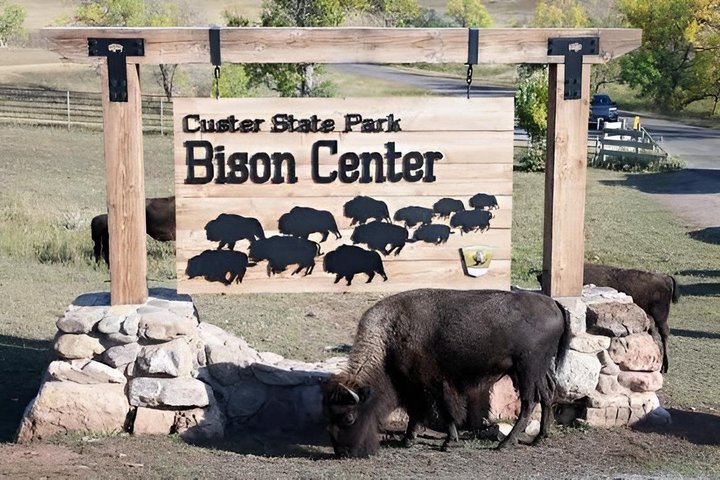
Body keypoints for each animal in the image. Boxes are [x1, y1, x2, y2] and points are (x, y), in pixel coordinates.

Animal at [323, 289, 570, 458]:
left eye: (349, 417)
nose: (343, 452)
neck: (389, 336)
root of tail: (553, 304)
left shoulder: (433, 383)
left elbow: (443, 410)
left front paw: (448, 442)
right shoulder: (416, 385)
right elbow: (416, 411)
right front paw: (409, 439)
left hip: (527, 369)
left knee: (529, 401)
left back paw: (505, 443)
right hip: (535, 370)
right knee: (547, 394)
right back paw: (539, 438)